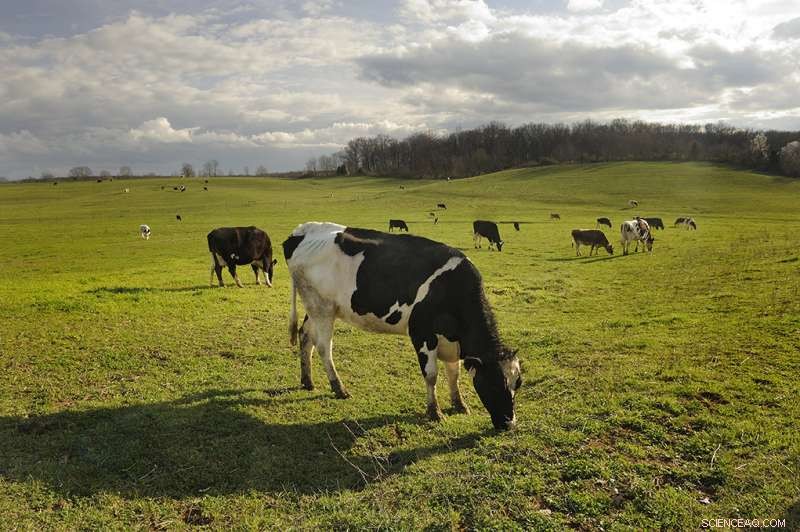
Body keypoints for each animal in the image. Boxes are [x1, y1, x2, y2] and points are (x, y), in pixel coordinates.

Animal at [283, 222, 522, 430]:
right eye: (494, 383)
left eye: (517, 383)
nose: (509, 424)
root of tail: (302, 231)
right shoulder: (422, 334)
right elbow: (432, 374)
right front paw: (434, 412)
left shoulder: (452, 340)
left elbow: (454, 373)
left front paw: (459, 404)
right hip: (322, 307)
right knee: (324, 346)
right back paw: (339, 387)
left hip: (315, 307)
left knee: (305, 337)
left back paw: (307, 381)